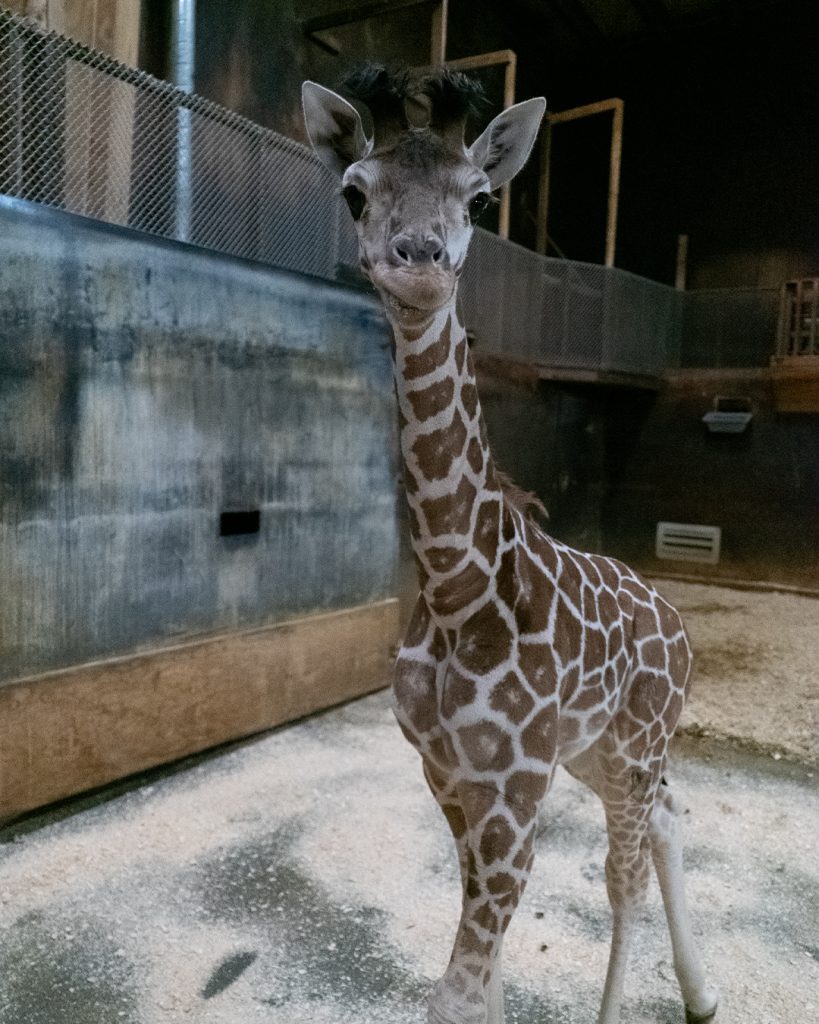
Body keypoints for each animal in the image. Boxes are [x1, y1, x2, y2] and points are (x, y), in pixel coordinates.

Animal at [303, 66, 716, 1024]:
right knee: (669, 819)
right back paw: (703, 996)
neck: (458, 592)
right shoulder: (447, 774)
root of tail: (679, 625)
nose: (418, 257)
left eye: (481, 199)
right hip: (601, 752)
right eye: (354, 191)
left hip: (631, 746)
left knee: (621, 873)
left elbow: (458, 986)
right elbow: (477, 976)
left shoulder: (517, 783)